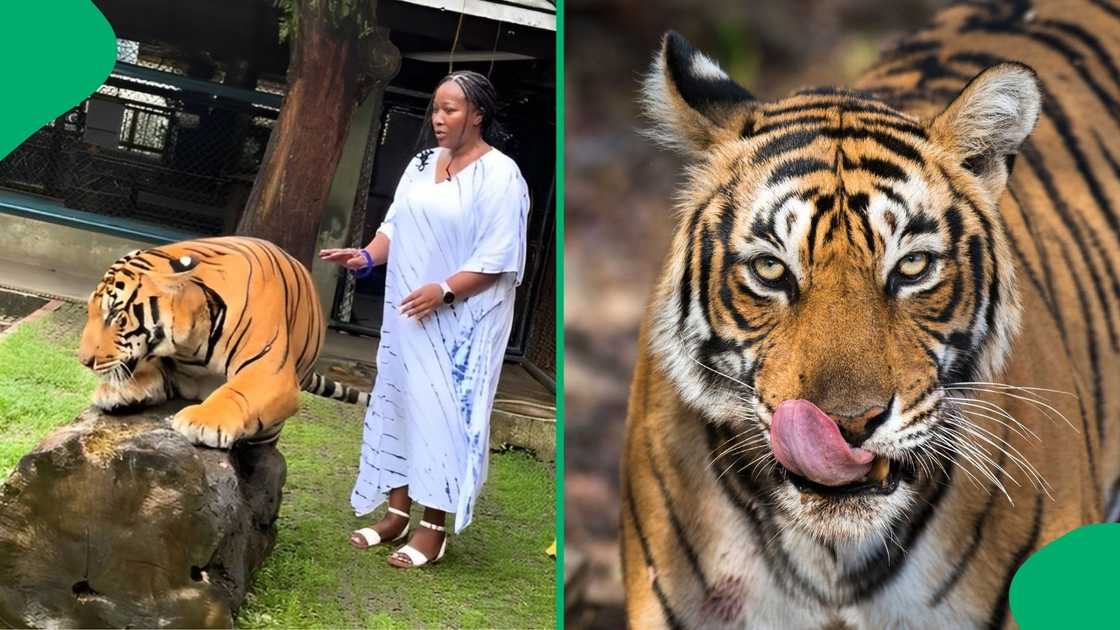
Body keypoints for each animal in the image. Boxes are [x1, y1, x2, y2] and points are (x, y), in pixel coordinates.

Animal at [76, 235, 371, 446]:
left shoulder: (269, 370)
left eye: (115, 315)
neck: (190, 348)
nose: (84, 361)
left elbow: (236, 391)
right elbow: (150, 370)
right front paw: (116, 390)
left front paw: (203, 421)